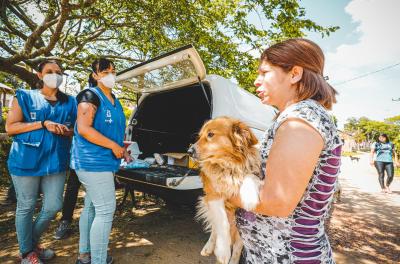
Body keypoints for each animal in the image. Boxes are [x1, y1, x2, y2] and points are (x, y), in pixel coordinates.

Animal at [189, 117, 264, 264]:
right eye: (199, 136)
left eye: (210, 134)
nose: (189, 151)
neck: (228, 165)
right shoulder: (213, 195)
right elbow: (222, 224)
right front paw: (223, 251)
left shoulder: (254, 172)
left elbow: (249, 176)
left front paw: (250, 199)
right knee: (215, 227)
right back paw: (209, 246)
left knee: (238, 245)